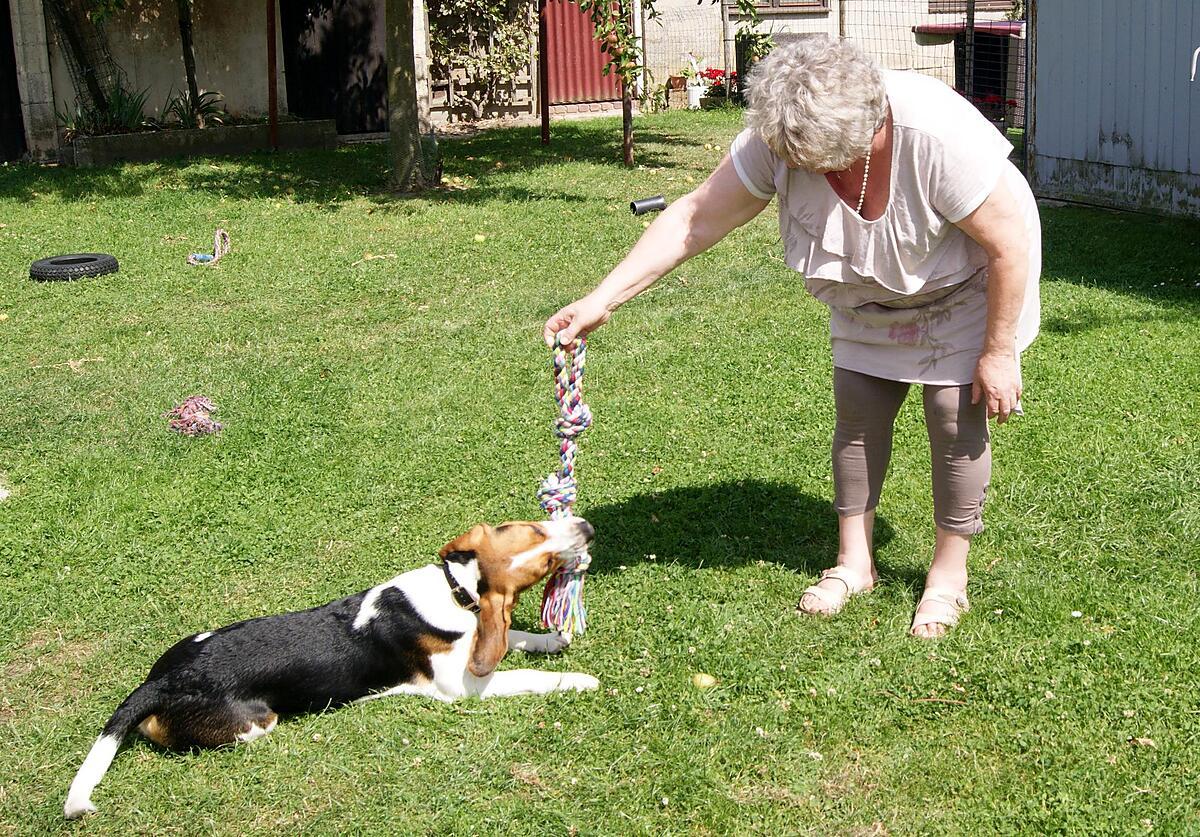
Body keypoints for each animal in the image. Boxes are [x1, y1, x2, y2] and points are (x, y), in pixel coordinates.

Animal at [63, 515, 597, 815]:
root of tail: (159, 682)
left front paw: (551, 638)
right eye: (538, 548)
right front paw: (578, 679)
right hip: (257, 724)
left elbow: (515, 641)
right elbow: (523, 674)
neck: (456, 589)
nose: (589, 528)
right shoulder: (461, 686)